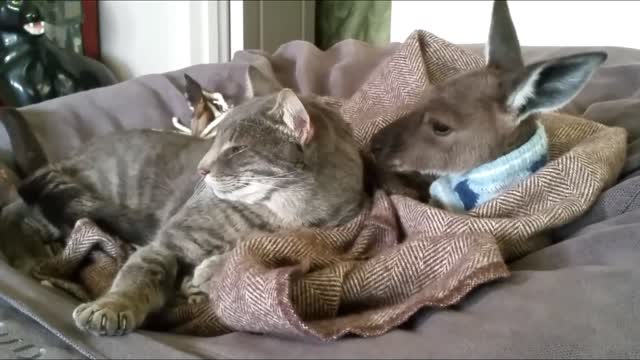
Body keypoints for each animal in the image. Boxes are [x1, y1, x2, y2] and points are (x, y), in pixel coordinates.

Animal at [17, 88, 368, 336]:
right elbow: (136, 276)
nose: (202, 168)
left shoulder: (334, 233)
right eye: (214, 142)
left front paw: (208, 273)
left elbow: (276, 250)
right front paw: (112, 307)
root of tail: (64, 160)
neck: (281, 212)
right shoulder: (169, 241)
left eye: (236, 149)